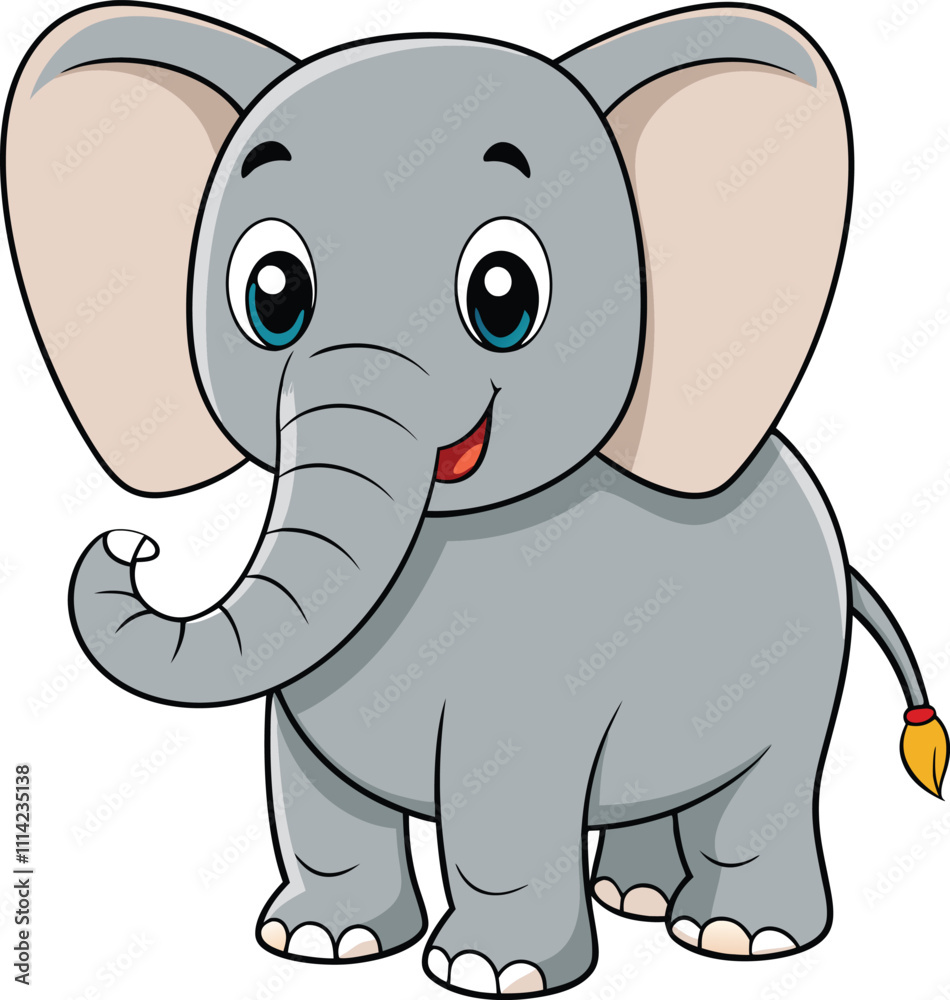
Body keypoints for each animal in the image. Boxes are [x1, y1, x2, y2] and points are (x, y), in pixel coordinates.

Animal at [4, 2, 947, 995]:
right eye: (272, 295)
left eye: (504, 296)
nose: (131, 544)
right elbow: (308, 783)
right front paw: (321, 944)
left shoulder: (543, 667)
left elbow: (502, 799)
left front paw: (490, 972)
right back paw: (636, 897)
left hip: (797, 665)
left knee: (764, 790)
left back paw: (738, 937)